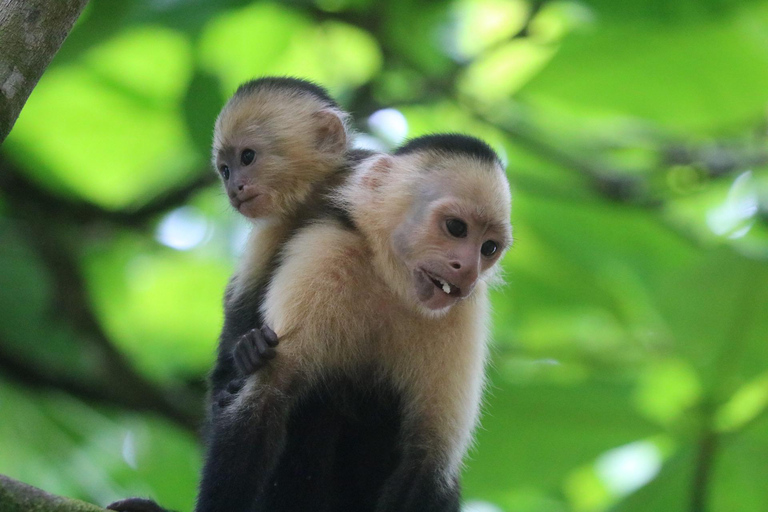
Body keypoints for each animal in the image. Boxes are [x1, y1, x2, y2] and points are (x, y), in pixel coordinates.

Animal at [108, 133, 512, 512]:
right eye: (456, 228)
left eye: (489, 248)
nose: (468, 269)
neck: (388, 280)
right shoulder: (326, 252)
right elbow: (262, 402)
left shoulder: (465, 313)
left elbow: (428, 461)